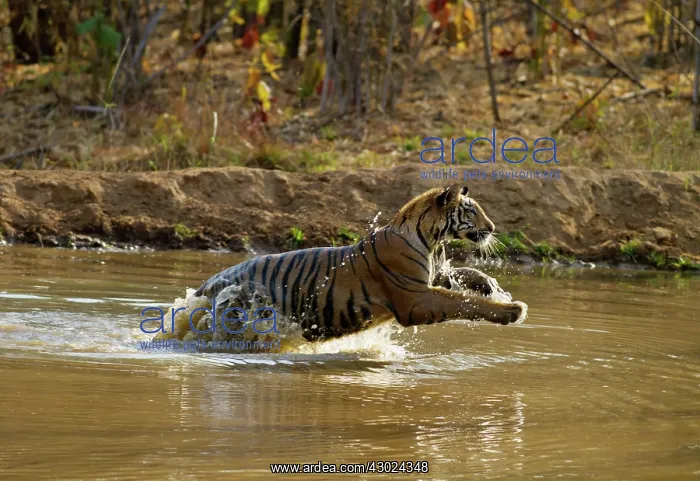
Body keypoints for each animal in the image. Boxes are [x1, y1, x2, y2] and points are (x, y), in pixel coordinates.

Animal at [159, 183, 527, 344]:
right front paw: (513, 310)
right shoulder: (414, 299)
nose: (493, 227)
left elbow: (466, 276)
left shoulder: (436, 277)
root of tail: (207, 284)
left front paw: (492, 286)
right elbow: (462, 302)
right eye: (472, 211)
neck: (433, 239)